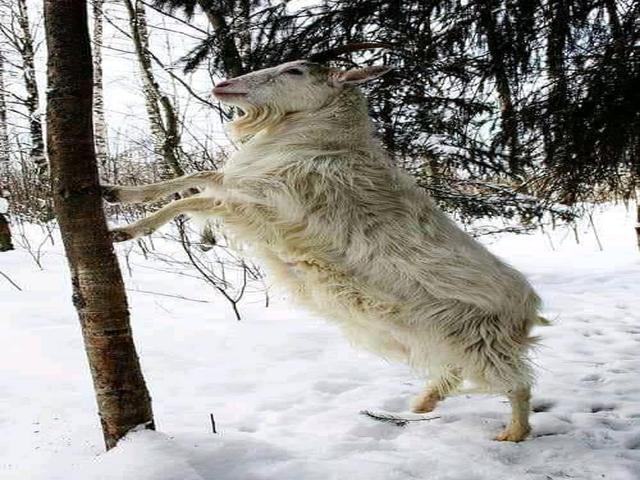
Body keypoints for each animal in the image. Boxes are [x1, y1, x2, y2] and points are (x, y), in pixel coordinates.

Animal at [103, 60, 544, 442]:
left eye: (295, 70)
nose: (223, 85)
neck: (323, 140)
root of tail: (530, 308)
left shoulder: (259, 205)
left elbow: (193, 195)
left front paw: (123, 230)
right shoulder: (242, 191)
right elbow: (193, 179)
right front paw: (116, 194)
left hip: (480, 342)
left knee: (518, 383)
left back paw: (514, 432)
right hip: (433, 335)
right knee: (454, 371)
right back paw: (423, 403)